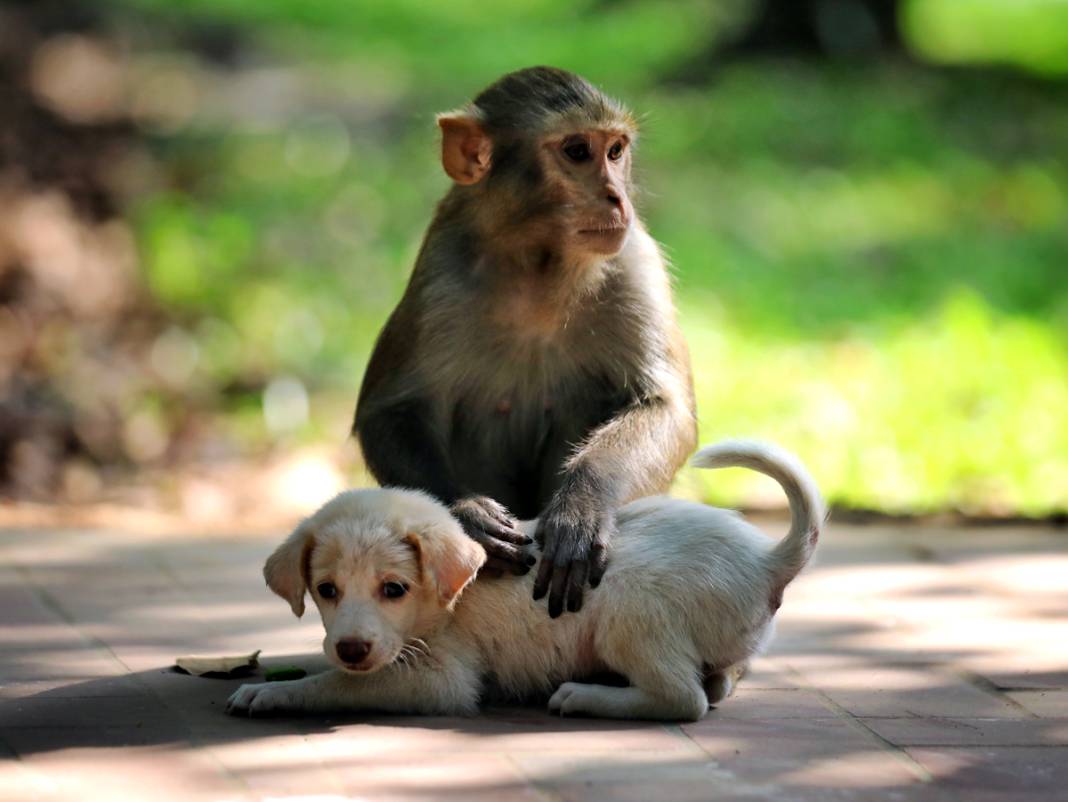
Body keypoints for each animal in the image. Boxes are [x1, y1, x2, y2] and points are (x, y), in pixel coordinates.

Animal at [229, 442, 820, 726]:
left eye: (393, 589)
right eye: (325, 590)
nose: (352, 648)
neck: (446, 601)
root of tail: (770, 560)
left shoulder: (441, 680)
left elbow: (339, 684)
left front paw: (271, 692)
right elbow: (341, 674)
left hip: (630, 609)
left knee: (682, 698)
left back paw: (586, 696)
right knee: (713, 683)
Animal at [354, 67, 696, 619]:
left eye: (615, 151)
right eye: (576, 151)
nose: (616, 197)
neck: (538, 261)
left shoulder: (634, 260)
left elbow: (663, 405)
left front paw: (581, 506)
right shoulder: (440, 272)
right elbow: (389, 412)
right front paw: (466, 514)